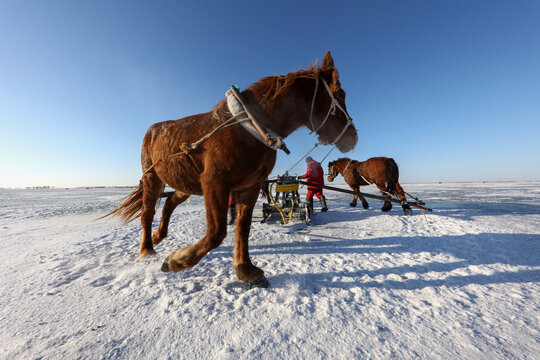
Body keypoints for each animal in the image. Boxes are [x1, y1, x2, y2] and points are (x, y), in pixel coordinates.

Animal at [105, 51, 358, 286]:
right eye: (340, 94)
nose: (353, 137)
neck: (252, 129)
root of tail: (153, 129)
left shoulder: (251, 186)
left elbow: (243, 228)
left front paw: (245, 269)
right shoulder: (215, 183)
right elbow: (217, 232)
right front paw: (176, 261)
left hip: (185, 184)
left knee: (169, 204)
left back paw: (158, 236)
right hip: (153, 178)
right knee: (147, 213)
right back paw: (147, 249)